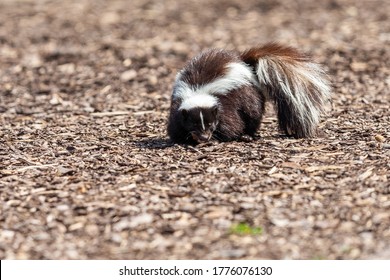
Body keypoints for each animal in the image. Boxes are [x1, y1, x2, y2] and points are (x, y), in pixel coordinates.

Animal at [166, 43, 330, 145]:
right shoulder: (178, 105)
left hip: (249, 94)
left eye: (210, 123)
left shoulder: (225, 103)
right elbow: (176, 126)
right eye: (193, 123)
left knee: (253, 114)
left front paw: (216, 138)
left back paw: (248, 135)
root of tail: (244, 63)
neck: (199, 91)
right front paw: (187, 138)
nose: (205, 137)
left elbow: (232, 124)